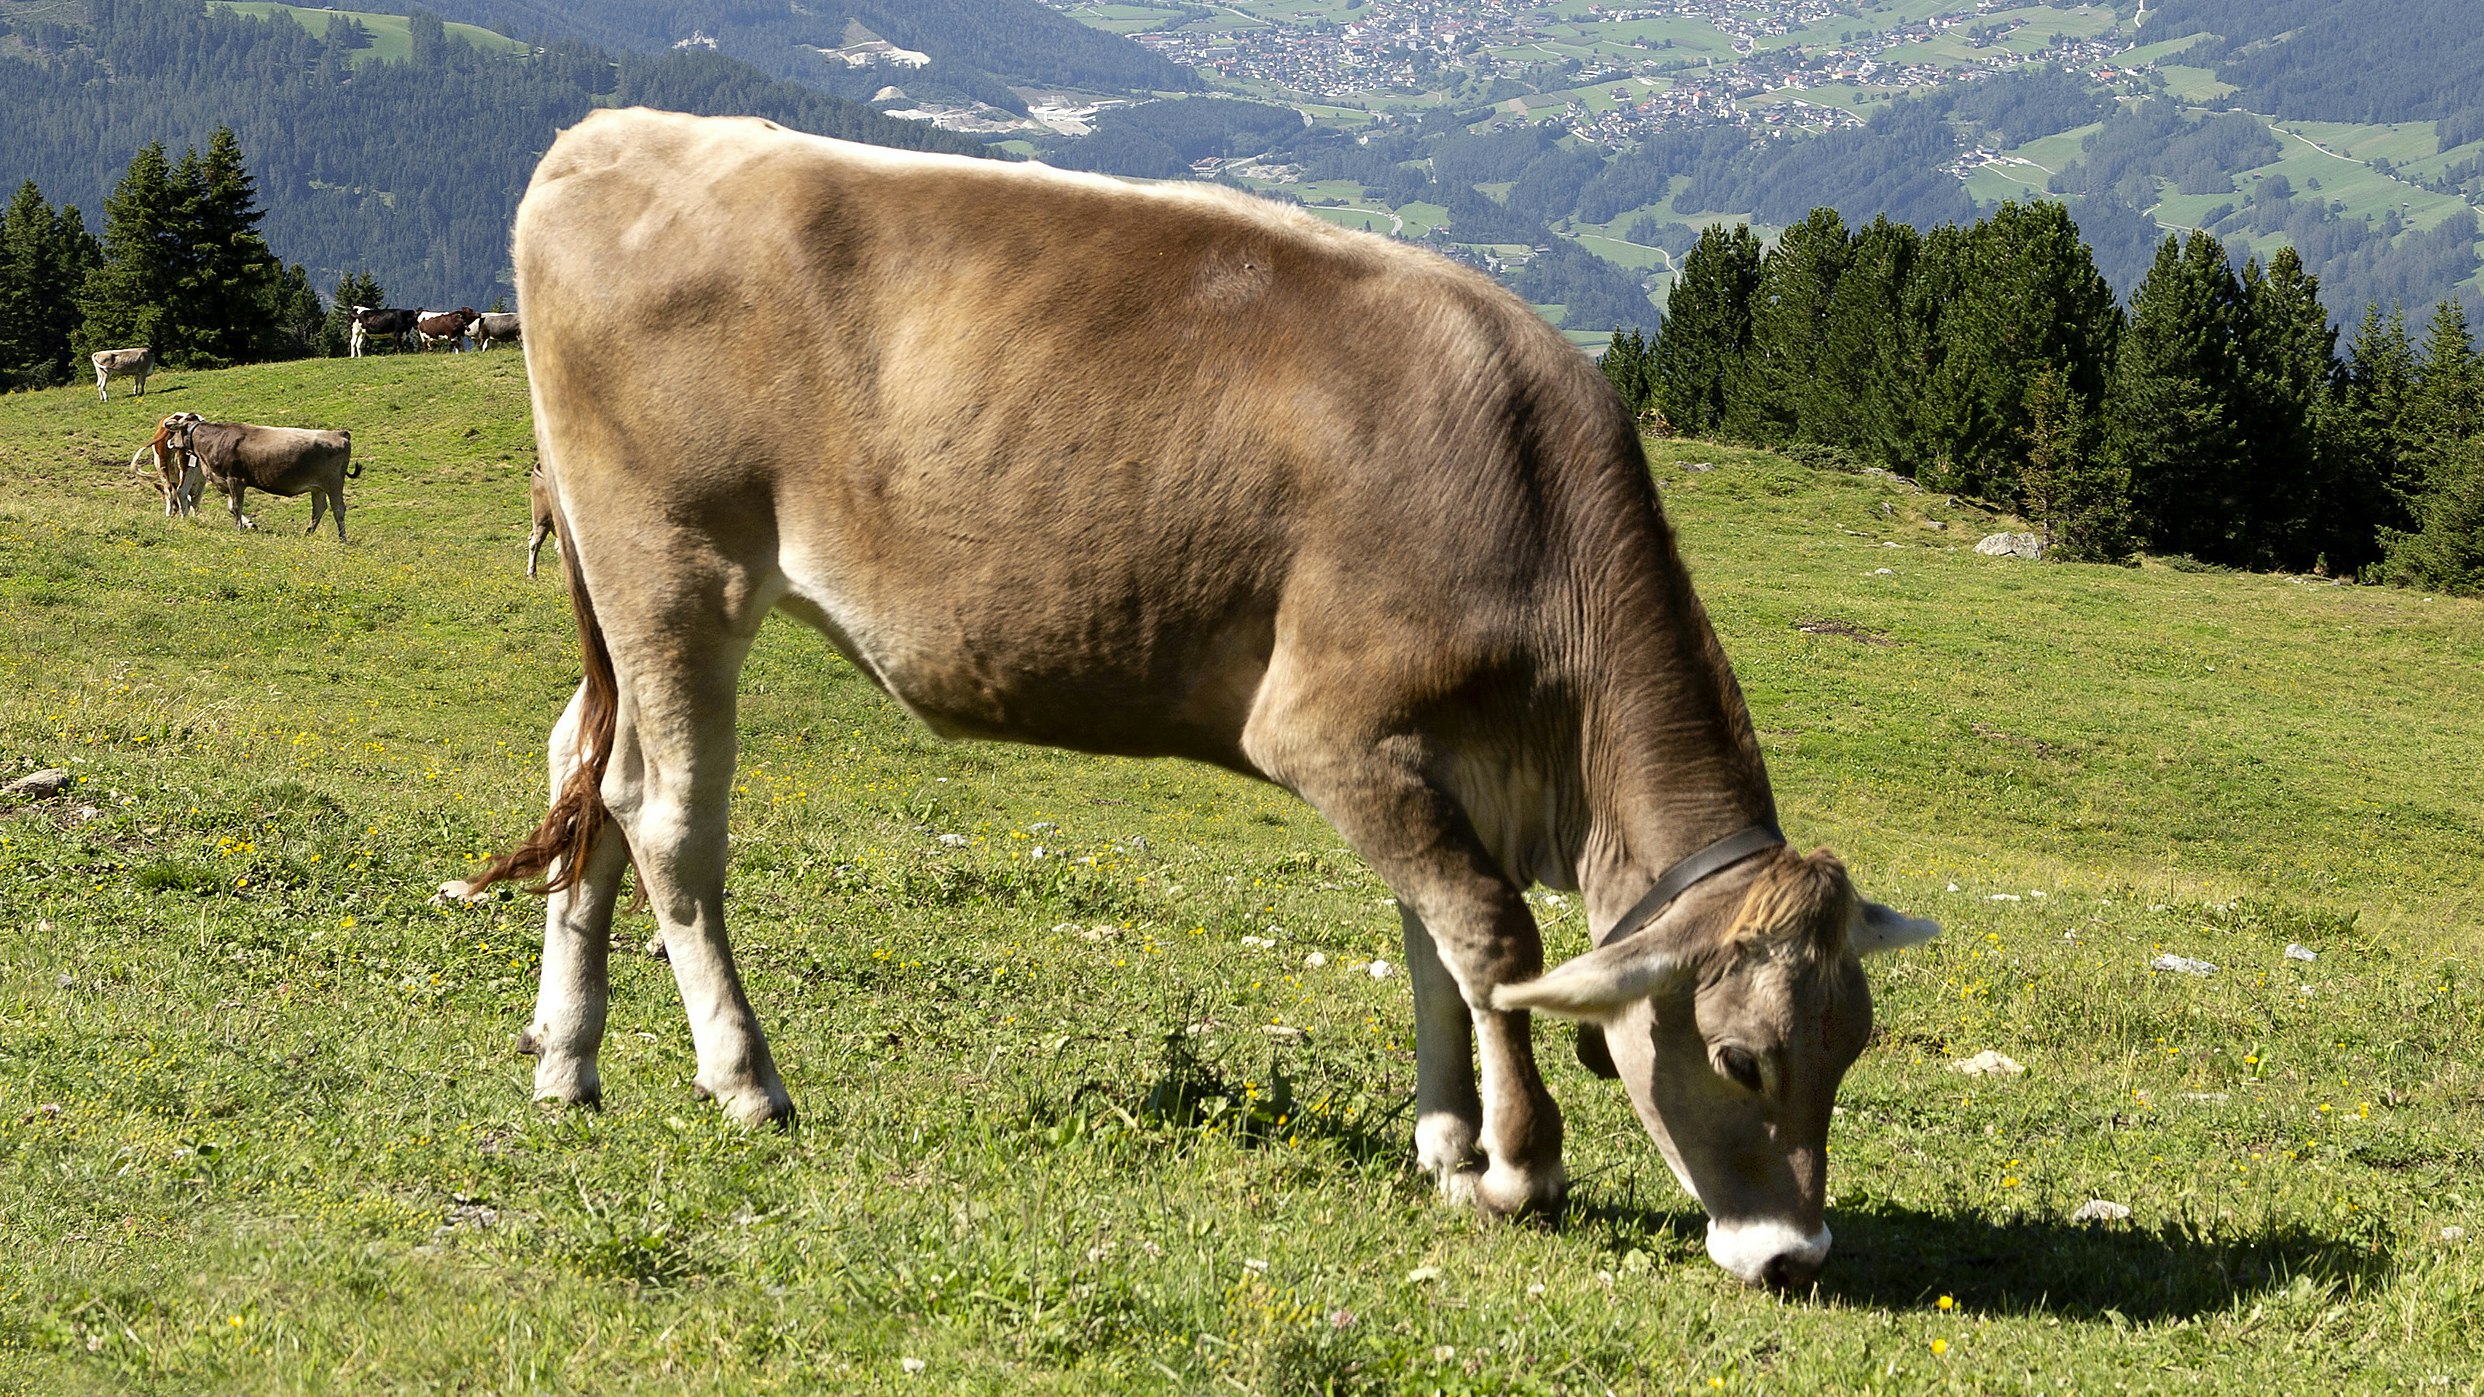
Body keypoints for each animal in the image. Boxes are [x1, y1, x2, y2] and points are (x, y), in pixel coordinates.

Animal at [186, 420, 358, 540]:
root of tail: (339, 434)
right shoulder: (230, 482)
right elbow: (232, 506)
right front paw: (249, 525)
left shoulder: (235, 479)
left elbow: (236, 506)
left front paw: (239, 528)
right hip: (318, 488)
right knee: (319, 509)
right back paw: (308, 533)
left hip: (333, 484)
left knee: (338, 509)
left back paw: (342, 538)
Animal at [451, 109, 1939, 1290]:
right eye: (1741, 1059)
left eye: (1853, 1050)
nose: (1795, 1256)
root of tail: (610, 137)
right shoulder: (1333, 730)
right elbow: (1490, 935)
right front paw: (1521, 1167)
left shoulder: (1429, 761)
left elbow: (1433, 947)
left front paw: (1449, 1141)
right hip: (674, 559)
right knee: (664, 812)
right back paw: (746, 1081)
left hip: (618, 578)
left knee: (584, 772)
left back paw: (565, 1062)